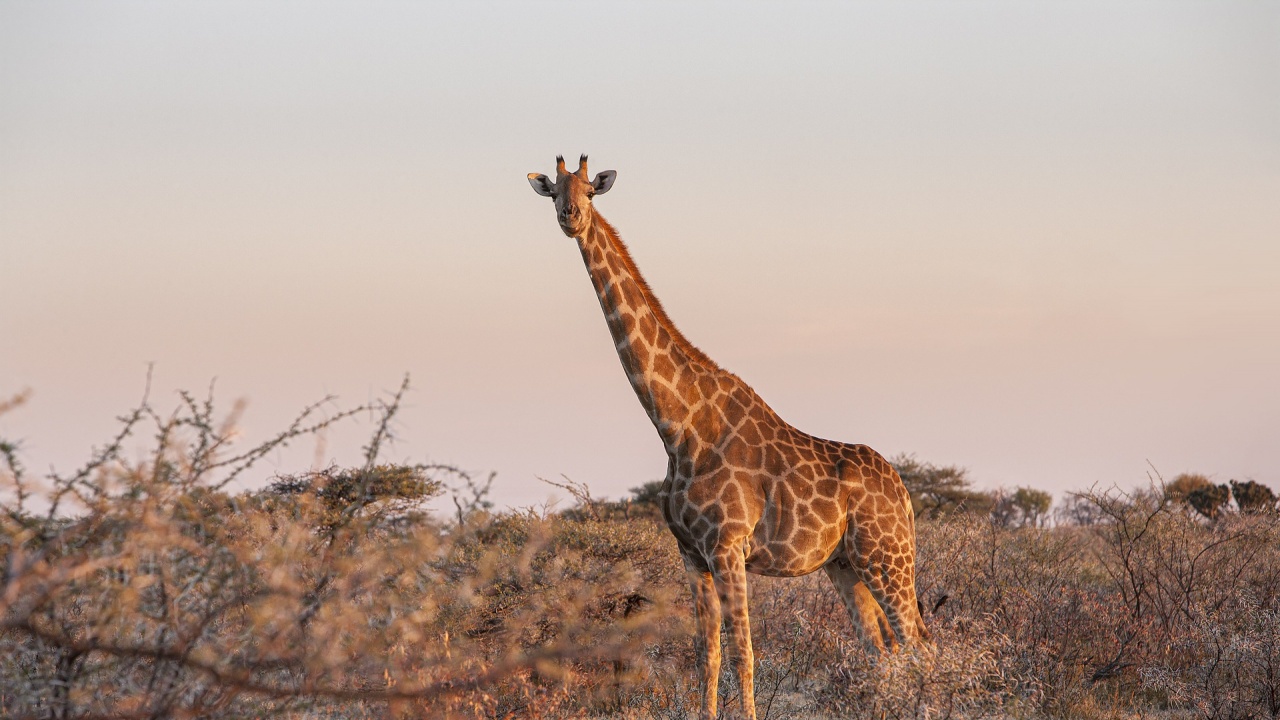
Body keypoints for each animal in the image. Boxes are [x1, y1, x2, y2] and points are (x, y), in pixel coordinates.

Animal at [524, 154, 926, 712]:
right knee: (881, 651)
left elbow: (744, 654)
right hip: (845, 564)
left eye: (589, 190)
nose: (571, 217)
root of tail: (904, 493)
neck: (678, 426)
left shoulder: (728, 546)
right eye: (554, 191)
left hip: (887, 556)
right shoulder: (691, 553)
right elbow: (706, 655)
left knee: (919, 645)